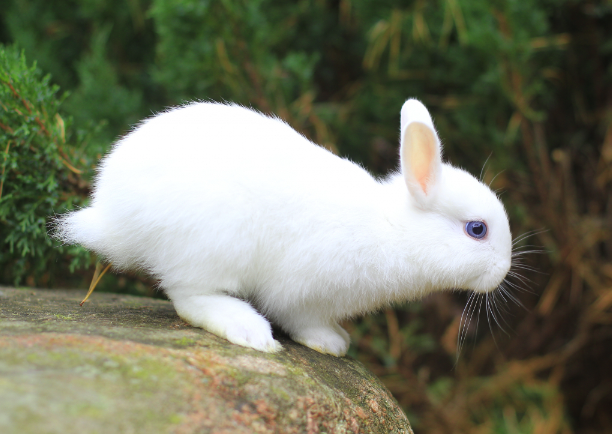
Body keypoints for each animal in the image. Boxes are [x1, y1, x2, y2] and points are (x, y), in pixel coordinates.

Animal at [53, 99, 512, 357]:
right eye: (477, 229)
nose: (505, 270)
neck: (392, 229)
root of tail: (112, 214)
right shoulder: (301, 290)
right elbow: (302, 319)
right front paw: (333, 344)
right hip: (214, 245)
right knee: (189, 297)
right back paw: (250, 331)